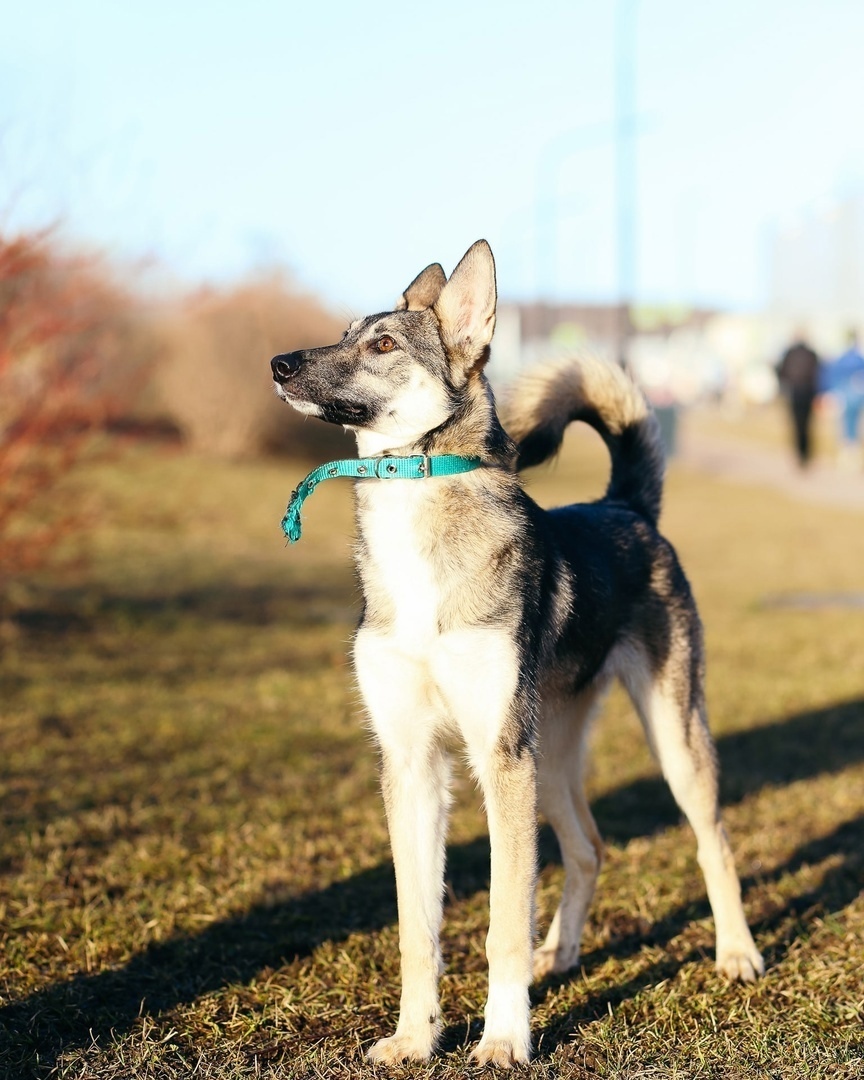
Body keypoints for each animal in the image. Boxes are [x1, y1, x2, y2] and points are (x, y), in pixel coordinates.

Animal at [272, 240, 764, 1067]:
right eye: (343, 334)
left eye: (382, 345)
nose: (278, 363)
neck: (416, 499)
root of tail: (627, 505)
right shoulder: (412, 765)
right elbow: (417, 929)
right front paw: (415, 1037)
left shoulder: (498, 760)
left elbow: (501, 920)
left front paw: (504, 1038)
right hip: (551, 760)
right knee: (590, 847)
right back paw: (559, 954)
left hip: (665, 741)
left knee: (713, 843)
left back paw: (736, 953)